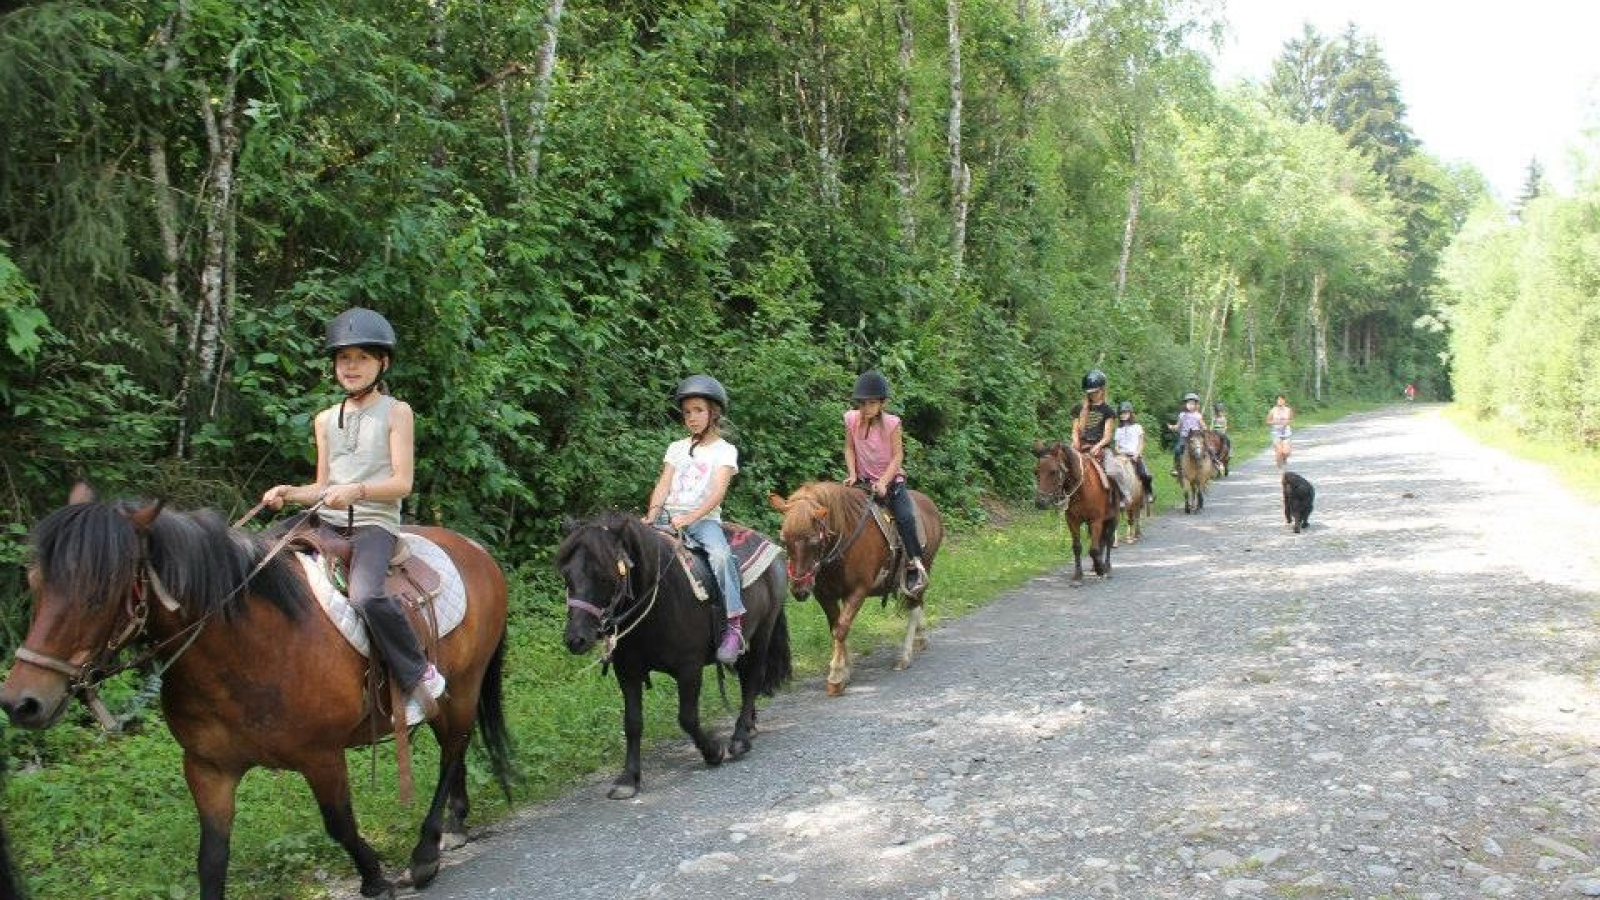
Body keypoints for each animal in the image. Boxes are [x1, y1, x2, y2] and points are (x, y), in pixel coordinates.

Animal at [0, 490, 508, 896]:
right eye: (35, 583)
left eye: (98, 592)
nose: (22, 702)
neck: (248, 648)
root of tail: (476, 550)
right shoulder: (208, 768)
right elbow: (211, 860)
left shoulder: (321, 756)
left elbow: (340, 825)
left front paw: (375, 877)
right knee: (454, 749)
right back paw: (455, 825)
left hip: (463, 688)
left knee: (452, 751)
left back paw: (425, 852)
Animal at [556, 509, 793, 794]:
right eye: (566, 575)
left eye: (604, 575)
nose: (575, 639)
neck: (660, 598)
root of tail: (770, 545)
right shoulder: (627, 671)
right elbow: (632, 723)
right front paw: (628, 778)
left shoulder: (689, 667)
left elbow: (687, 718)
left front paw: (713, 751)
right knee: (747, 678)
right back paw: (750, 726)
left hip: (762, 632)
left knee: (753, 680)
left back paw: (739, 738)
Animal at [771, 483, 940, 695]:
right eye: (784, 540)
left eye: (814, 542)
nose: (799, 589)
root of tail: (930, 504)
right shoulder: (824, 595)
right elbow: (835, 627)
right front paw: (845, 670)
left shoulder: (858, 591)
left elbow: (841, 629)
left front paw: (836, 676)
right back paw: (920, 637)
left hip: (924, 568)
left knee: (915, 605)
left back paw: (905, 656)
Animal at [1030, 438, 1120, 582]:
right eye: (1035, 471)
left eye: (1053, 471)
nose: (1040, 502)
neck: (1082, 489)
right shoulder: (1072, 521)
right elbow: (1077, 547)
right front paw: (1078, 575)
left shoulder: (1096, 520)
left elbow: (1093, 549)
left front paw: (1100, 569)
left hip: (1113, 518)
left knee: (1109, 539)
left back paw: (1106, 566)